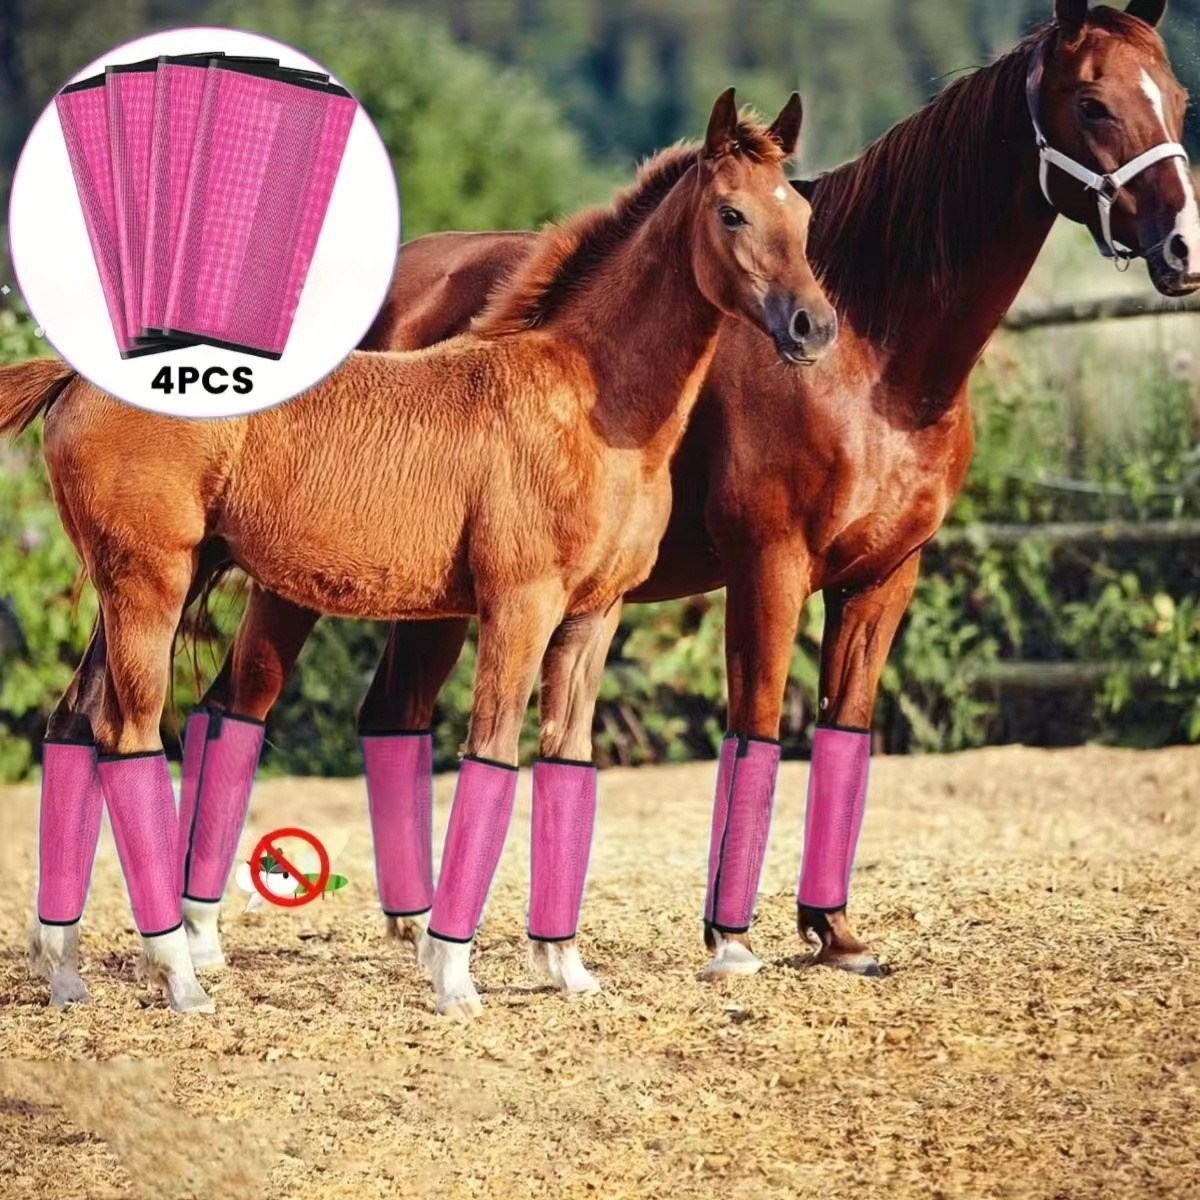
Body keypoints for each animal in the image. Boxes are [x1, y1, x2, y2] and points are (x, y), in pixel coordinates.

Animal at [3, 91, 836, 1016]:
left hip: (139, 587)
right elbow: (493, 755)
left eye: (801, 214)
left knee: (74, 721)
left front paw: (565, 967)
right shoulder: (520, 605)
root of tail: (75, 376)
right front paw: (454, 974)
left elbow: (567, 760)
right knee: (129, 733)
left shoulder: (594, 616)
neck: (586, 400)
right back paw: (179, 975)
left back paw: (65, 969)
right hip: (151, 583)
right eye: (731, 212)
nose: (813, 327)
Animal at [182, 0, 1198, 981]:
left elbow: (845, 732)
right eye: (1093, 102)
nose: (1182, 246)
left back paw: (415, 928)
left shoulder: (885, 577)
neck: (878, 359)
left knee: (389, 717)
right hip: (301, 581)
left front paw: (835, 934)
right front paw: (731, 938)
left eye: (1179, 97)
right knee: (237, 705)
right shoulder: (769, 567)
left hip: (428, 592)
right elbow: (757, 730)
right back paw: (211, 936)